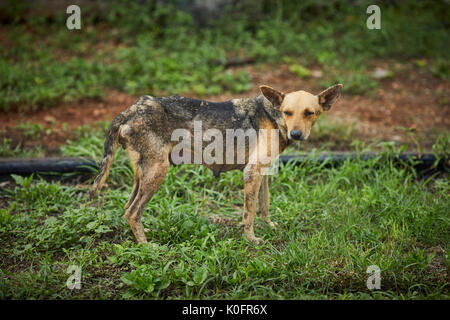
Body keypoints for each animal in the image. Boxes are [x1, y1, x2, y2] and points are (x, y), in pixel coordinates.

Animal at [92, 84, 344, 244]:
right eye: (287, 112)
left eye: (310, 113)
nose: (296, 134)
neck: (272, 116)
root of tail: (131, 110)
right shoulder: (251, 173)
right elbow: (249, 213)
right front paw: (251, 239)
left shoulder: (262, 173)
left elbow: (264, 206)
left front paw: (270, 226)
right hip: (157, 172)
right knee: (133, 211)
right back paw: (147, 246)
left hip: (143, 174)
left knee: (128, 209)